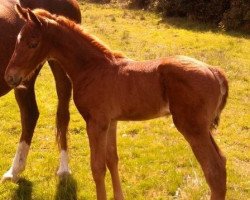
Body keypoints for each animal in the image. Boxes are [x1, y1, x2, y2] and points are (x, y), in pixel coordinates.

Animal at [5, 5, 229, 200]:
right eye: (17, 40)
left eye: (33, 43)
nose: (10, 77)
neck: (93, 68)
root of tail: (214, 71)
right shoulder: (111, 122)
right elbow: (112, 160)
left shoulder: (95, 123)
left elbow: (97, 167)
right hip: (203, 128)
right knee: (222, 162)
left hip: (192, 128)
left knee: (213, 170)